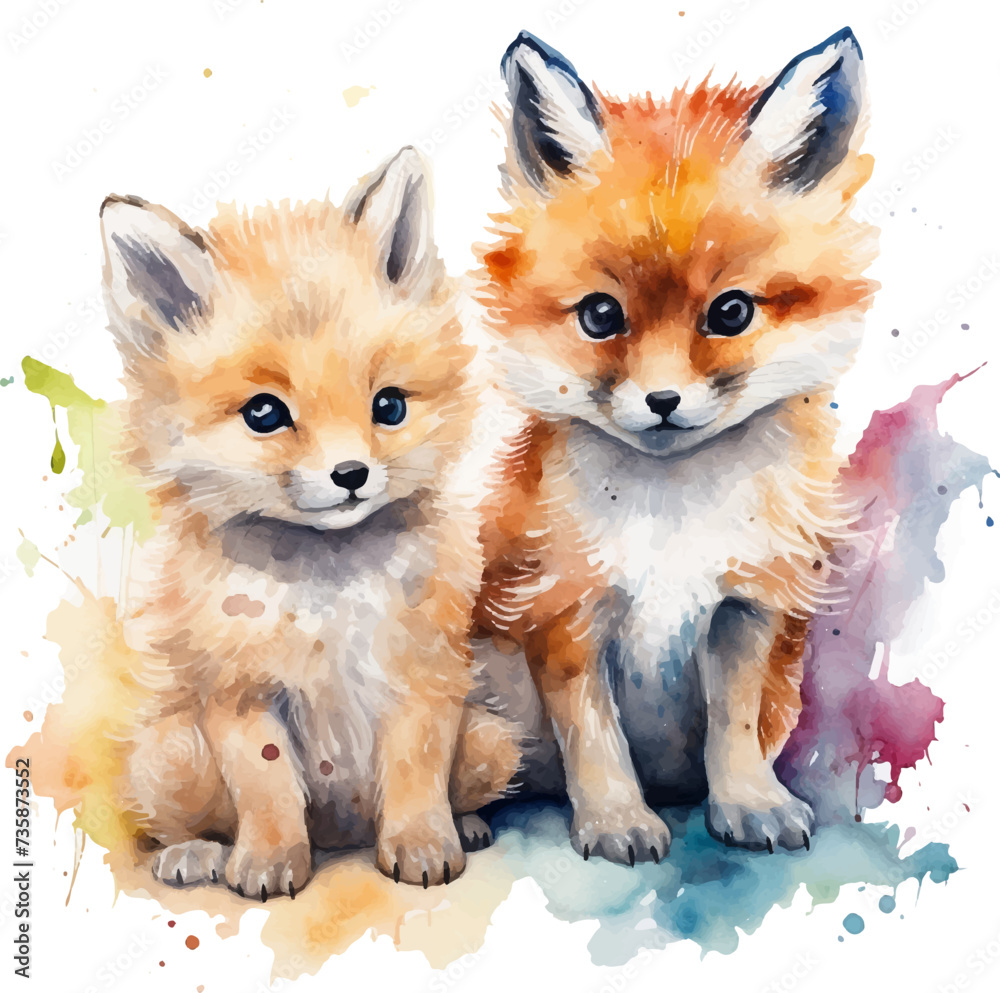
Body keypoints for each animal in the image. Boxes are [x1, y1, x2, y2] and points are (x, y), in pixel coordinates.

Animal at [103, 147, 524, 898]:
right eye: (264, 413)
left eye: (389, 406)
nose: (350, 474)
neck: (328, 590)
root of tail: (341, 835)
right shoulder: (242, 693)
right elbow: (267, 788)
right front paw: (269, 862)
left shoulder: (422, 676)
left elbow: (415, 775)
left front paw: (422, 846)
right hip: (167, 755)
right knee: (188, 820)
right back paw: (197, 854)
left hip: (491, 740)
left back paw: (468, 825)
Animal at [475, 28, 878, 863]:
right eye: (601, 315)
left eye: (730, 313)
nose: (663, 402)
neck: (671, 519)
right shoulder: (564, 605)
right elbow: (595, 738)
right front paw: (615, 820)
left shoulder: (745, 602)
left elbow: (733, 728)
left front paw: (749, 802)